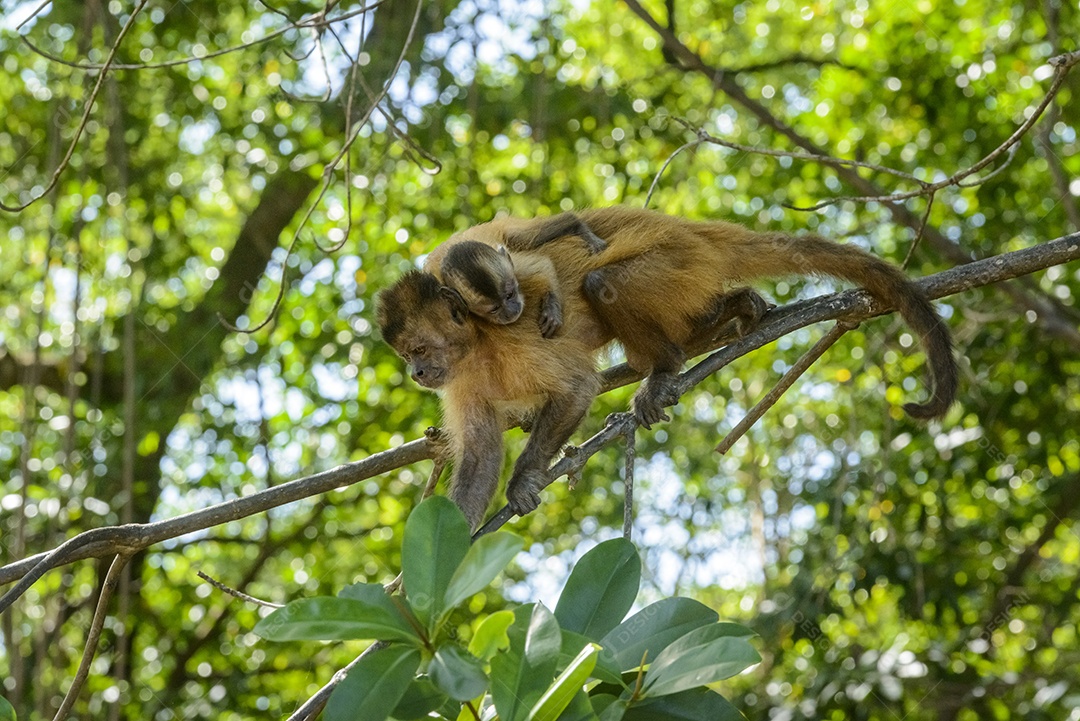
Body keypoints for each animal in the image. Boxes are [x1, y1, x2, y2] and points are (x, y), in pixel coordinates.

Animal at [423, 212, 607, 338]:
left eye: (510, 294)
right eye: (494, 309)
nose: (512, 311)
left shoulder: (515, 267)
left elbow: (542, 264)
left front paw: (551, 309)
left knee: (523, 237)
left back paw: (577, 226)